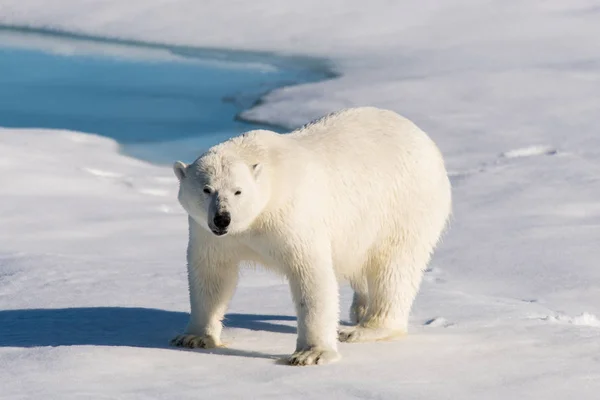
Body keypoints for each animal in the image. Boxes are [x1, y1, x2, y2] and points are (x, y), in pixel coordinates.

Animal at [169, 106, 450, 366]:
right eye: (206, 189)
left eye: (238, 191)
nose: (222, 218)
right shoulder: (210, 234)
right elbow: (212, 274)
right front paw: (194, 337)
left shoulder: (293, 216)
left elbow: (311, 275)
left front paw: (311, 354)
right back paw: (359, 310)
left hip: (405, 206)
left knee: (394, 267)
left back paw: (362, 329)